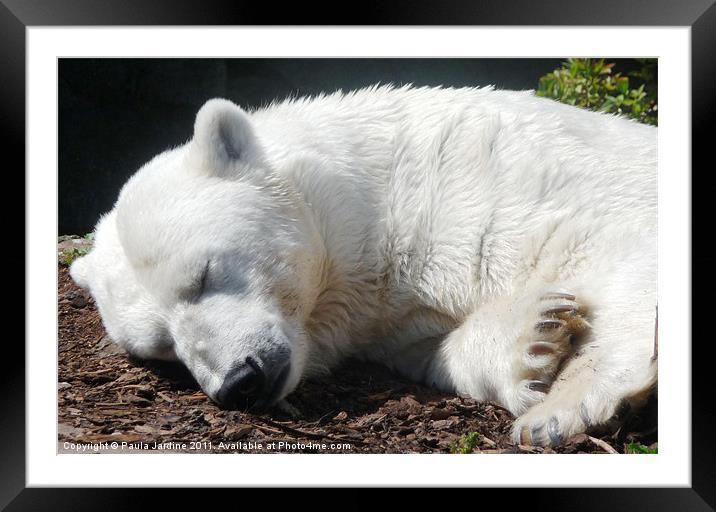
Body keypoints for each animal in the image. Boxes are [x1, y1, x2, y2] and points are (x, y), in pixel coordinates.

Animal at [70, 84, 656, 444]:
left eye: (203, 275)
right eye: (163, 348)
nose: (240, 382)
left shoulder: (495, 183)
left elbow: (617, 241)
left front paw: (557, 411)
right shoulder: (386, 321)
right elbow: (434, 350)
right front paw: (536, 336)